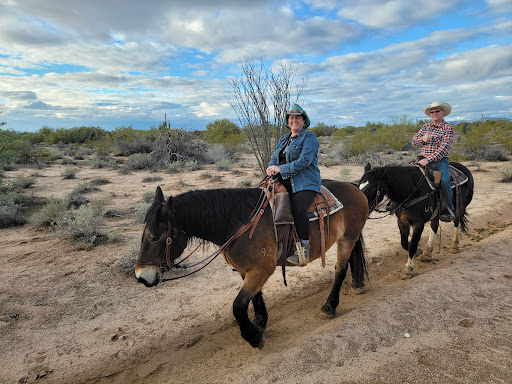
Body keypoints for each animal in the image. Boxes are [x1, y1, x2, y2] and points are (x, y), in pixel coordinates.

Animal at [135, 180, 368, 348]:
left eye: (155, 237)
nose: (141, 277)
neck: (237, 223)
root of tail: (354, 187)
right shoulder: (246, 270)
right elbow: (254, 298)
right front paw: (260, 322)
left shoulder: (262, 269)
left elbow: (238, 306)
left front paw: (253, 337)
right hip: (349, 238)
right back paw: (357, 284)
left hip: (347, 238)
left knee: (340, 269)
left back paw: (330, 306)